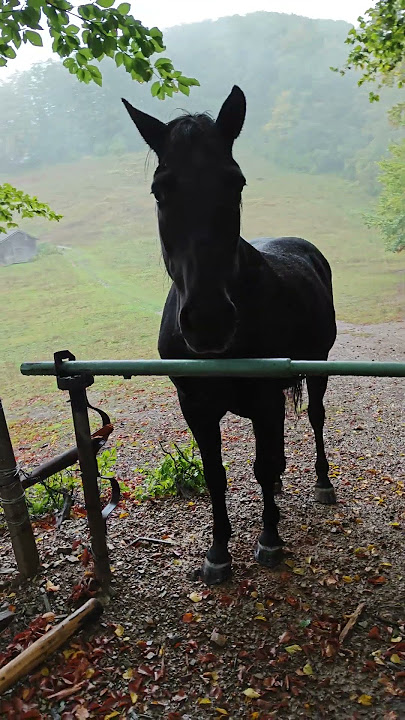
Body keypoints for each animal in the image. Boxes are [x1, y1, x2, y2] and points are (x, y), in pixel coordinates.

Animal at [122, 86, 337, 585]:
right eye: (161, 189)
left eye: (235, 183)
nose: (208, 321)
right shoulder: (195, 407)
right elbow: (216, 474)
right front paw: (219, 551)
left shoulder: (264, 399)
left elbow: (261, 464)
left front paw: (270, 538)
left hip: (318, 369)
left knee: (315, 419)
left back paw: (322, 482)